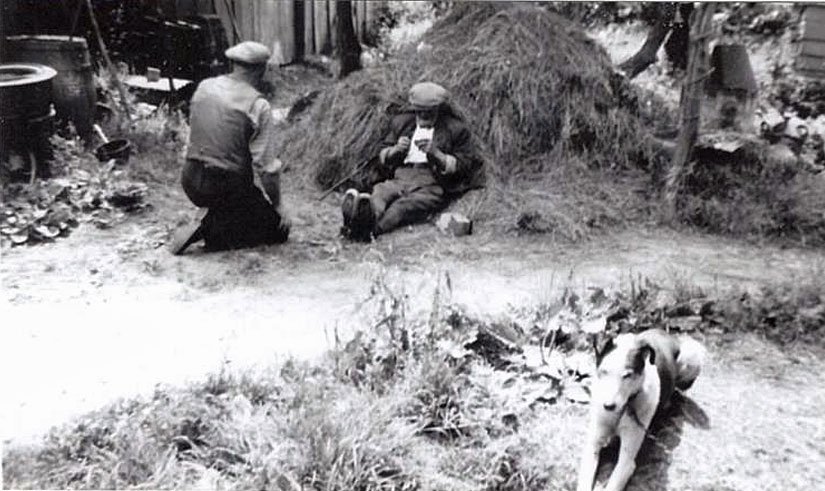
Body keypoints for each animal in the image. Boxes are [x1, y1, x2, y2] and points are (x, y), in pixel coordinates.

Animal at [576, 328, 704, 491]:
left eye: (627, 375)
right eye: (604, 372)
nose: (608, 406)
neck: (622, 410)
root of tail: (665, 333)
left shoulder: (627, 462)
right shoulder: (592, 445)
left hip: (692, 356)